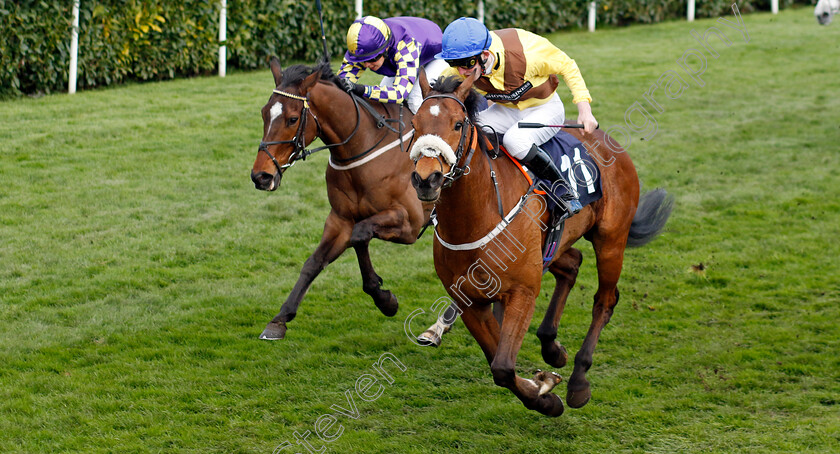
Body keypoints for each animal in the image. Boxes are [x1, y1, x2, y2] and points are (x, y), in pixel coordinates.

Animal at [251, 57, 430, 340]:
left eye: (292, 119)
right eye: (264, 113)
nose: (261, 176)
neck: (362, 148)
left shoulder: (410, 224)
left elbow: (360, 234)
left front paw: (386, 300)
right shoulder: (341, 219)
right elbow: (316, 261)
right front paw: (280, 319)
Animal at [410, 75, 672, 418]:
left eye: (456, 124)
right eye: (414, 124)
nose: (426, 179)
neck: (476, 217)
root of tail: (603, 137)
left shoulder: (522, 291)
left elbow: (503, 366)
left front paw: (548, 397)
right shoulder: (472, 302)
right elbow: (499, 362)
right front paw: (542, 385)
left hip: (611, 240)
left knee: (605, 301)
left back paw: (578, 381)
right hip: (552, 247)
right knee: (572, 264)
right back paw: (552, 347)